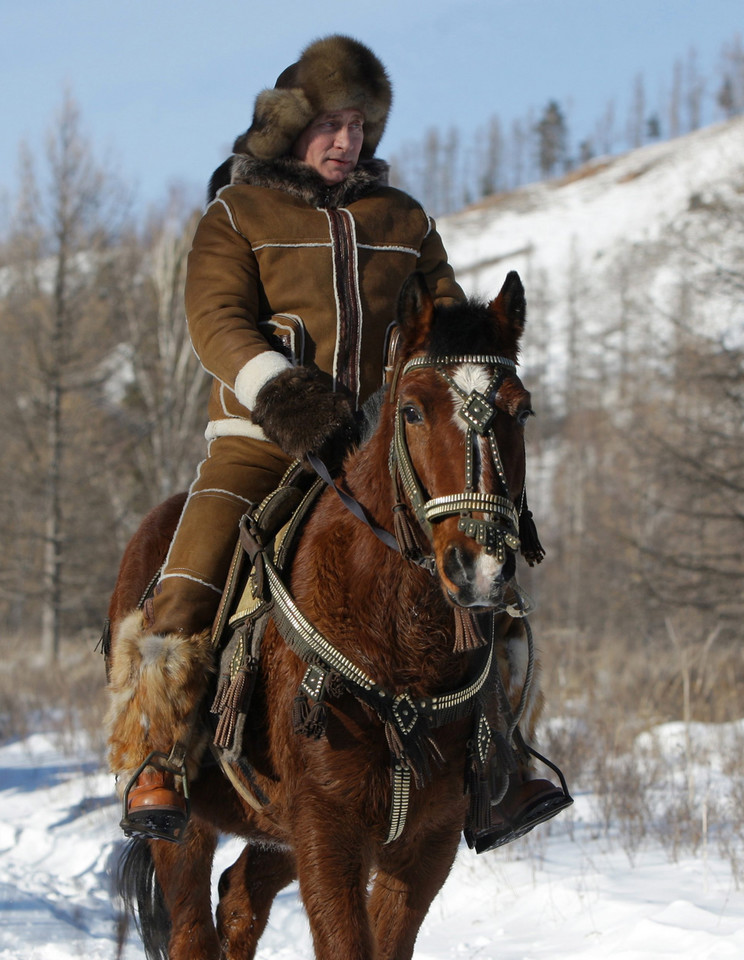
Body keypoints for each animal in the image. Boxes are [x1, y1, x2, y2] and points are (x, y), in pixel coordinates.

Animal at [112, 272, 540, 960]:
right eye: (412, 410)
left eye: (521, 410)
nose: (478, 566)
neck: (397, 643)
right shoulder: (326, 832)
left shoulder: (426, 842)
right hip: (185, 826)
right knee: (191, 927)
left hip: (273, 829)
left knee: (240, 897)